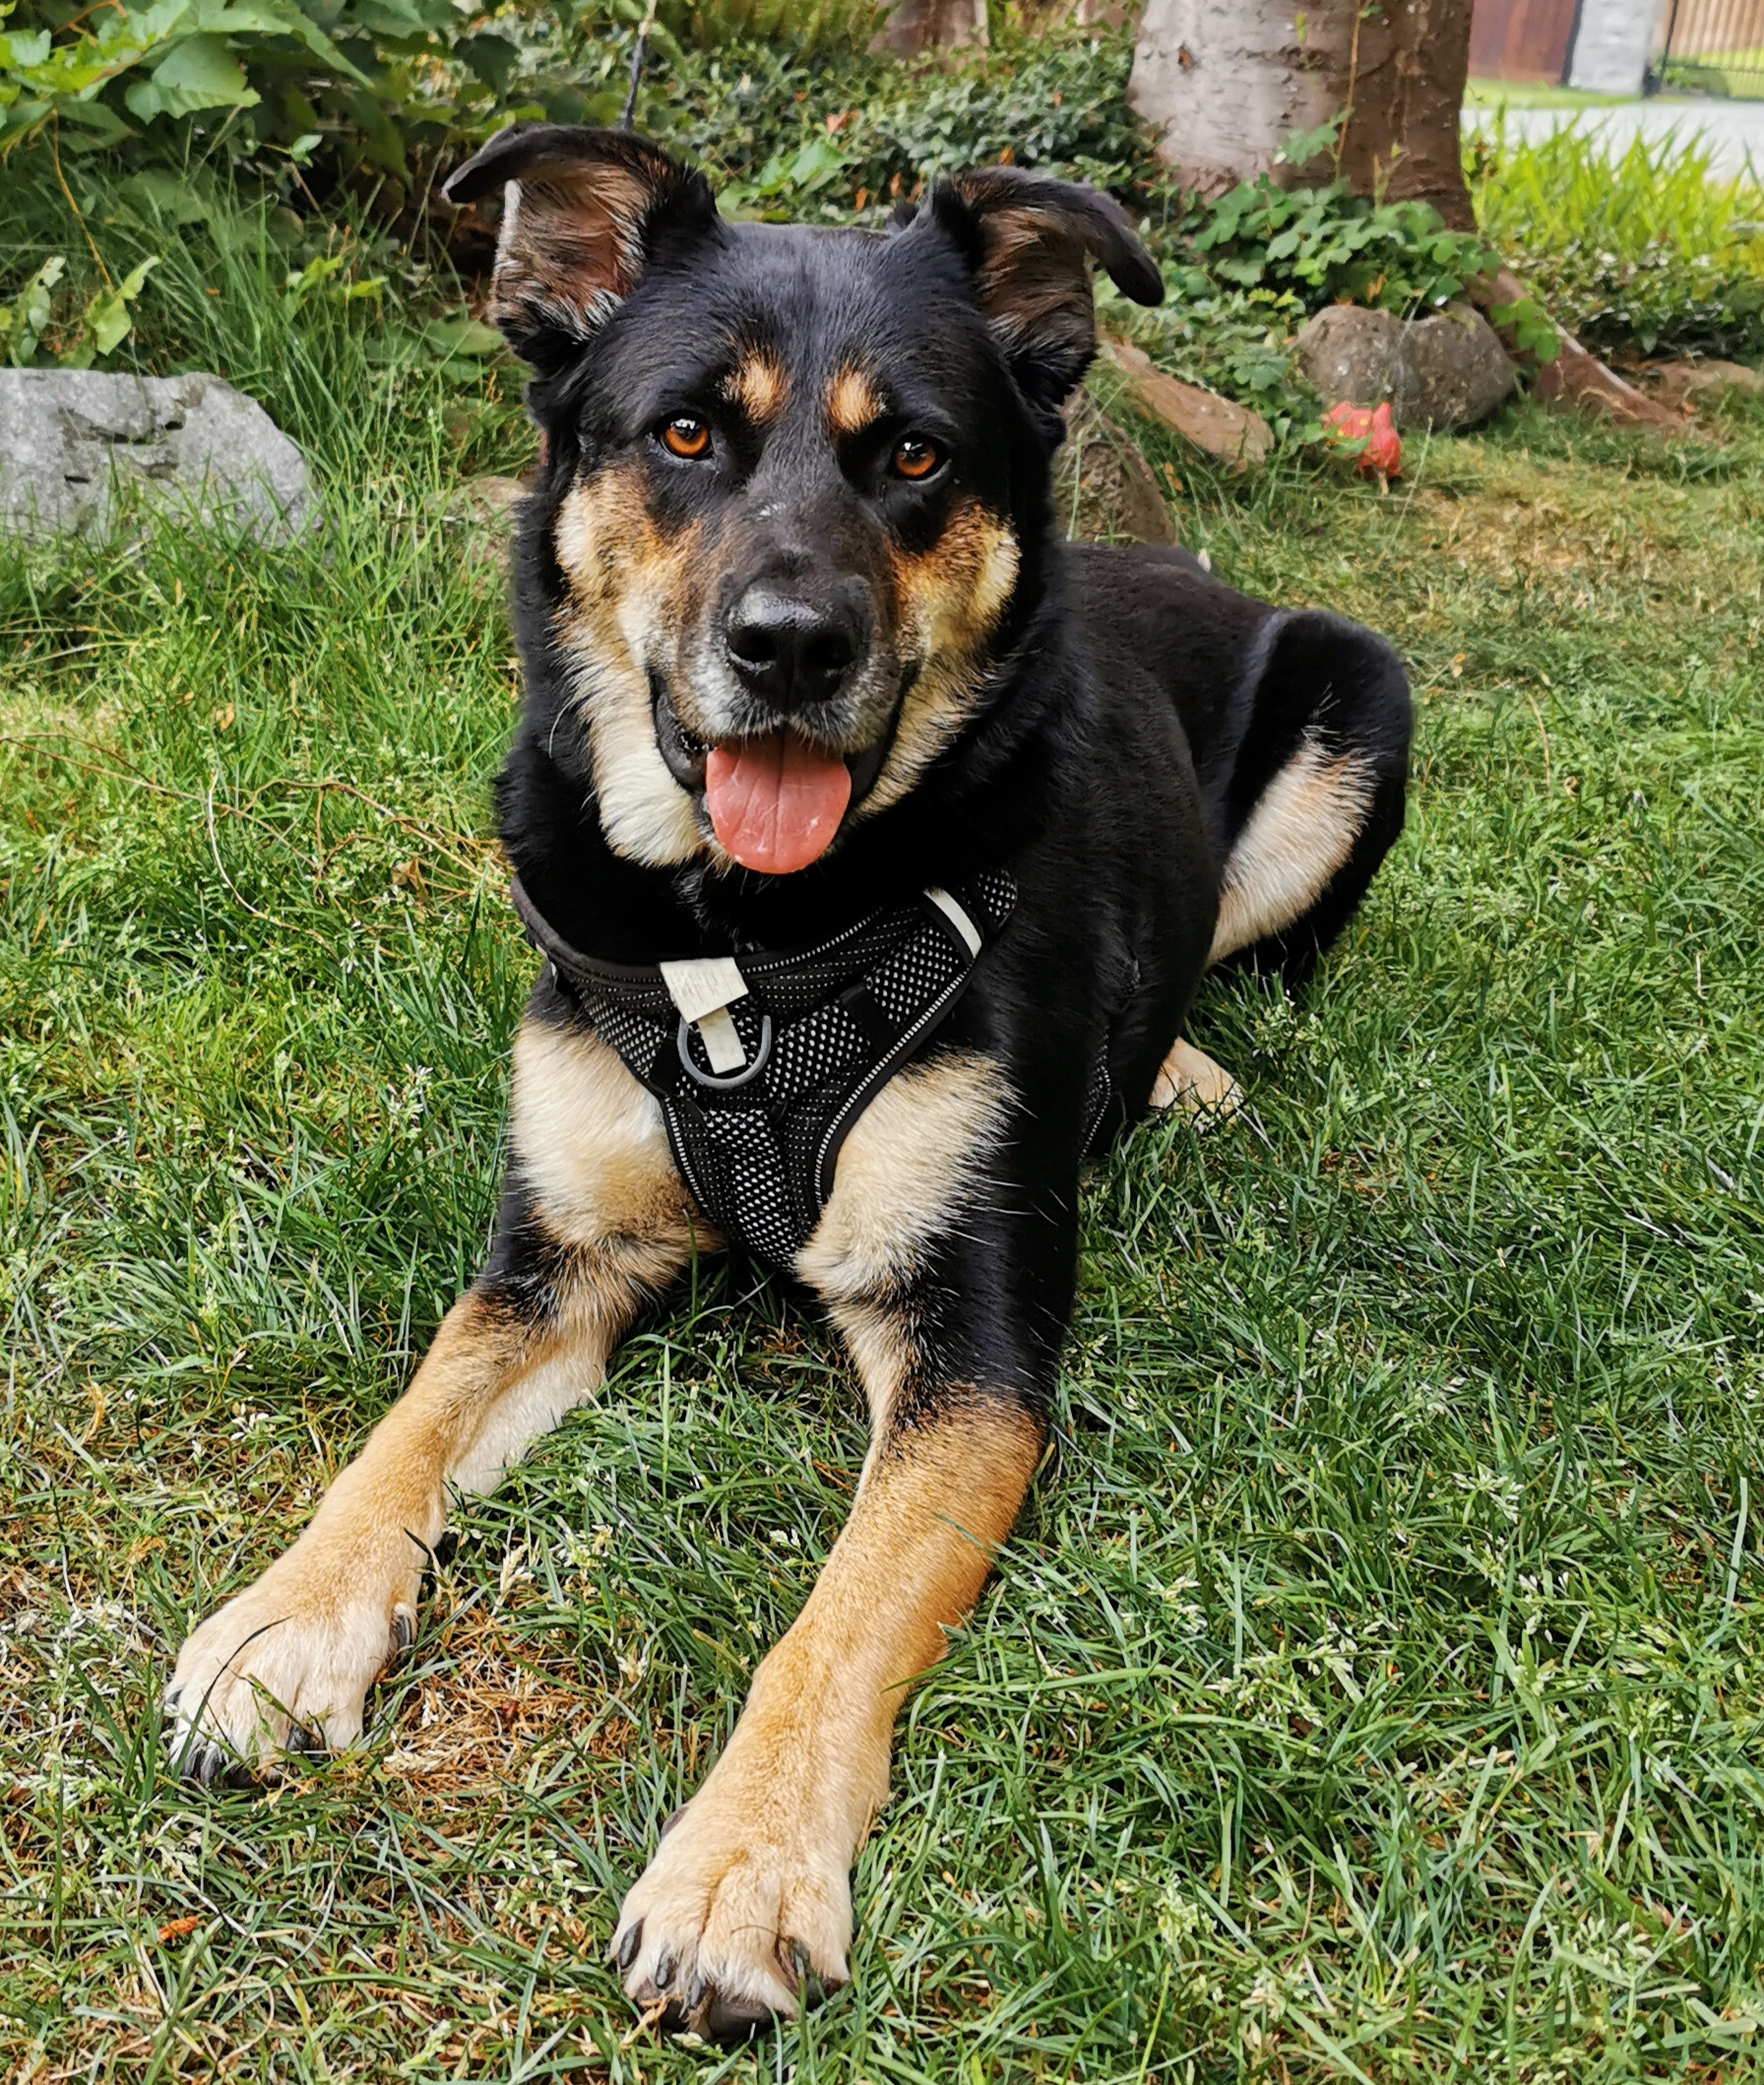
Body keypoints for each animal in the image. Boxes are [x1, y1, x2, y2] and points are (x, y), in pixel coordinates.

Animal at [164, 125, 1411, 2040]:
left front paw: (741, 1866)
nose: (791, 645)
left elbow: (837, 1610)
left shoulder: (975, 1339)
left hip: (1362, 695)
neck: (745, 941)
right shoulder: (556, 1261)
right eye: (686, 433)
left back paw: (1187, 1066)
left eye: (912, 454)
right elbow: (400, 1431)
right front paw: (282, 1619)